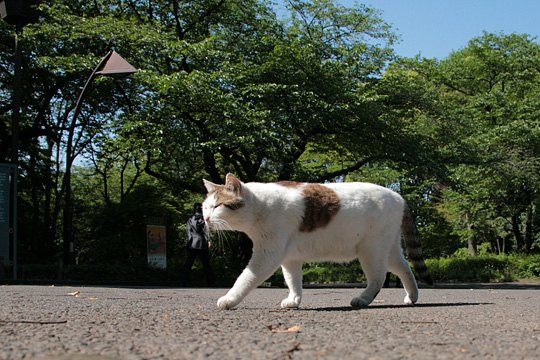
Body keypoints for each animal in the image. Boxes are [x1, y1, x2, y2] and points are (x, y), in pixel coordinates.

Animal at [200, 172, 432, 310]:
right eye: (204, 207)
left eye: (217, 206)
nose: (206, 218)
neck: (260, 205)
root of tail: (399, 196)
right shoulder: (289, 258)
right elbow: (293, 280)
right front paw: (294, 300)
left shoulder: (267, 255)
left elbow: (245, 278)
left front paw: (230, 299)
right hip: (388, 249)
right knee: (405, 269)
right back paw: (412, 297)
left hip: (371, 250)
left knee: (378, 278)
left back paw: (363, 299)